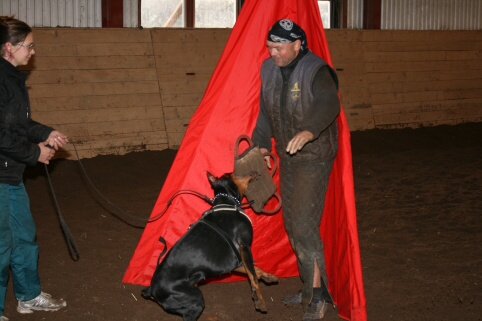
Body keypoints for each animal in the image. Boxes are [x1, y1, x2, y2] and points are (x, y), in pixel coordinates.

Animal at [141, 171, 278, 318]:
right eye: (231, 172)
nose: (253, 172)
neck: (228, 202)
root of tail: (151, 289)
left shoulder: (235, 260)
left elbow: (255, 269)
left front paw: (269, 276)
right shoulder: (244, 245)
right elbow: (253, 276)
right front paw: (260, 300)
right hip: (195, 300)